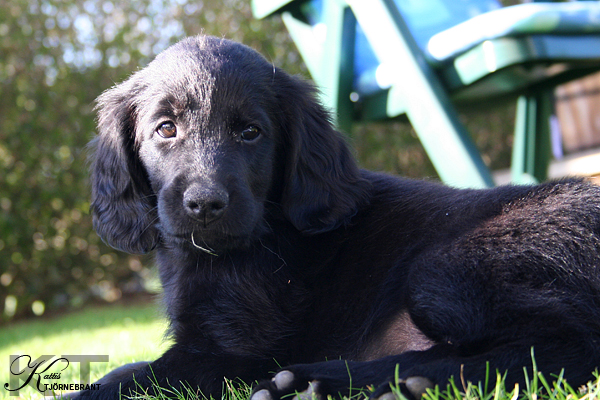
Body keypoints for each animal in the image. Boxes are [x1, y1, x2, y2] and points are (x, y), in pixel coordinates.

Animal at [83, 35, 600, 400]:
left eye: (250, 132)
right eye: (165, 129)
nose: (206, 204)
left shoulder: (232, 351)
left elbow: (127, 380)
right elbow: (122, 370)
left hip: (445, 268)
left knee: (559, 347)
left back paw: (319, 381)